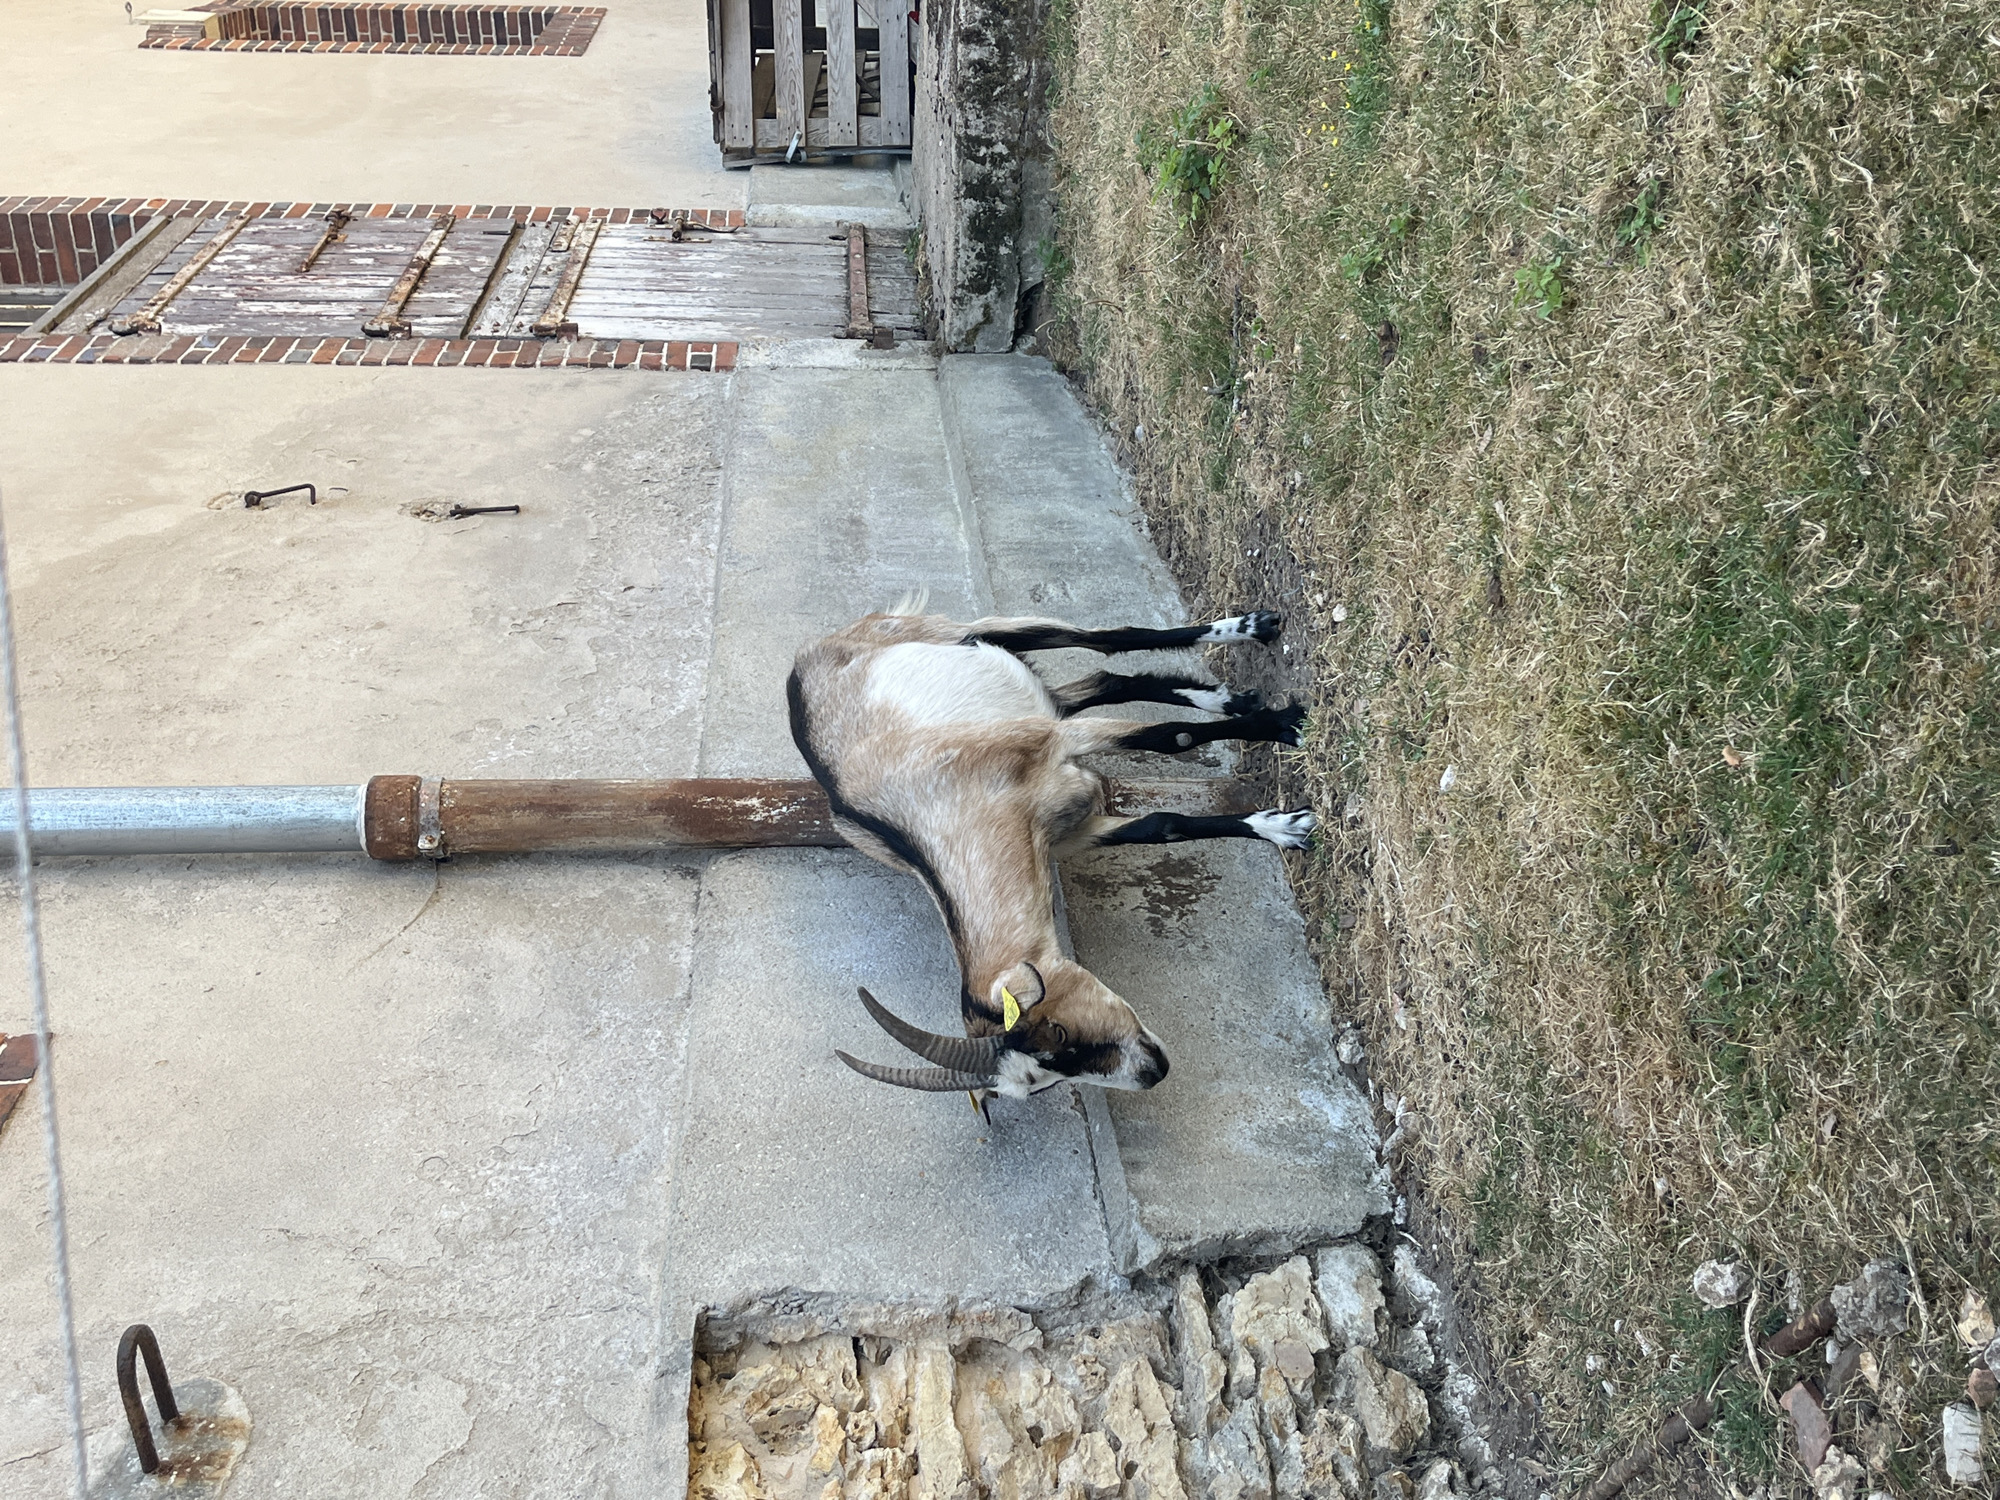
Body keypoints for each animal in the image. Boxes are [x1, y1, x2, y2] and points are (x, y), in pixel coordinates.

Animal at [786, 600, 1315, 1112]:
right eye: (1047, 1082)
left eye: (1056, 1031)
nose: (1152, 1072)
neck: (941, 807)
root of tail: (805, 659)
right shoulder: (1069, 831)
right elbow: (1161, 826)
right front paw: (1283, 827)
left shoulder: (1054, 739)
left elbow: (1169, 738)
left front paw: (1286, 728)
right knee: (1102, 681)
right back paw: (1230, 696)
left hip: (964, 632)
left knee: (1104, 641)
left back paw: (1253, 633)